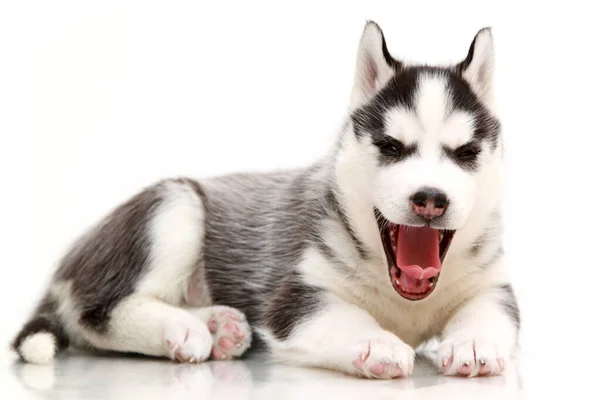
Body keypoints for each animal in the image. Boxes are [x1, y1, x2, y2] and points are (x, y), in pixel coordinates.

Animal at [14, 21, 520, 378]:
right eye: (392, 147)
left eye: (466, 153)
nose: (430, 199)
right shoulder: (295, 293)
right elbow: (344, 315)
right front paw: (375, 343)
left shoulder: (491, 284)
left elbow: (489, 312)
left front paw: (475, 342)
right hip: (175, 206)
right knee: (95, 314)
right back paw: (181, 328)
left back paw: (221, 327)